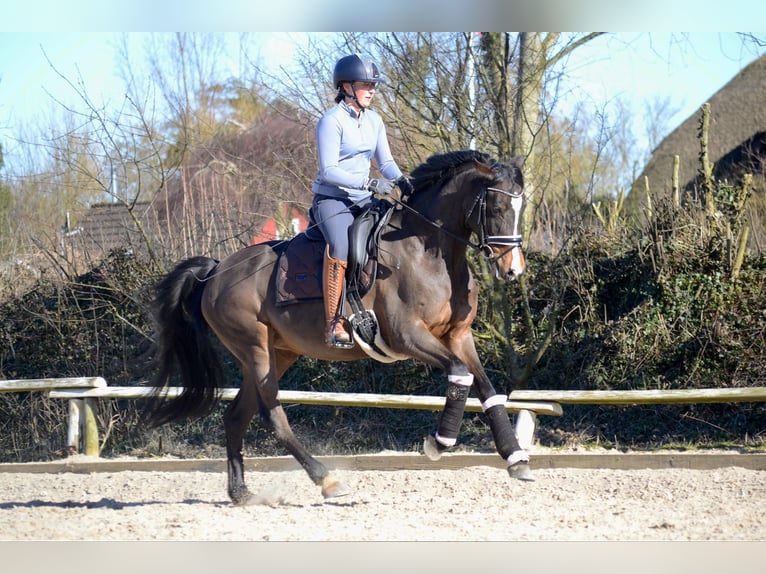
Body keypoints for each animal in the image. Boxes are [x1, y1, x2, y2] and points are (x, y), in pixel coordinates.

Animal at [146, 149, 533, 505]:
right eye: (496, 207)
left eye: (522, 207)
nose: (513, 270)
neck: (429, 252)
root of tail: (216, 271)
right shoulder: (406, 336)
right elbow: (460, 375)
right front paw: (439, 443)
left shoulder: (459, 336)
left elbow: (486, 389)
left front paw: (516, 459)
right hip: (255, 350)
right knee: (272, 415)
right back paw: (327, 480)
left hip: (279, 353)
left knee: (235, 417)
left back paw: (241, 492)